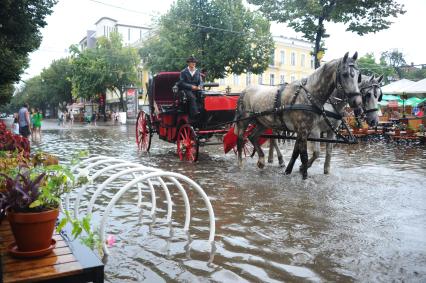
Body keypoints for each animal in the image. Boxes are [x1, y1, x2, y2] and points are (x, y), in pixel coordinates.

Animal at [235, 52, 362, 180]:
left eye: (358, 76)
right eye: (345, 74)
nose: (357, 101)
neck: (309, 95)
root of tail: (245, 90)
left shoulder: (305, 130)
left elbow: (297, 152)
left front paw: (288, 171)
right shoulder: (306, 130)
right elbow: (304, 155)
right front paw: (304, 176)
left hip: (263, 122)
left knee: (252, 136)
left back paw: (261, 160)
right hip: (244, 121)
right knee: (241, 140)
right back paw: (240, 165)